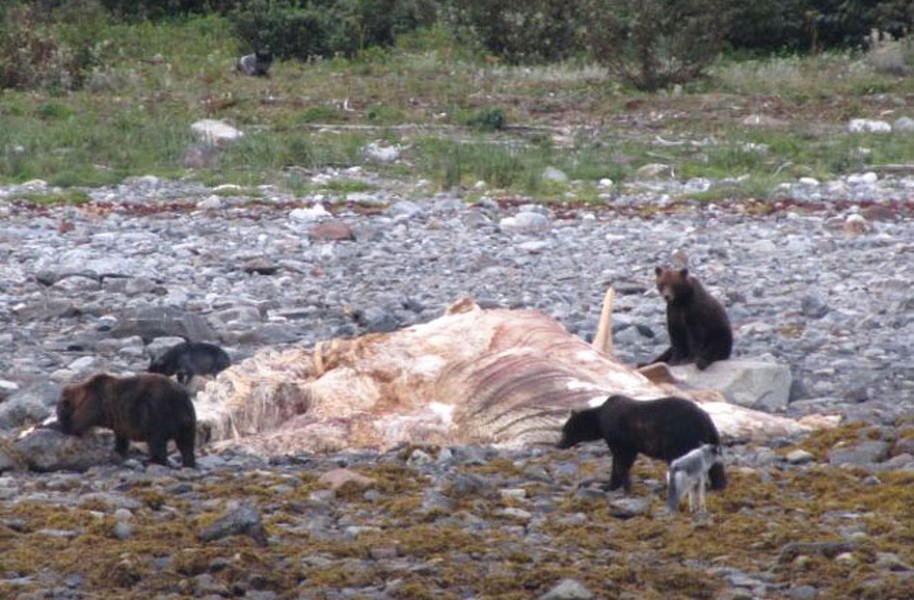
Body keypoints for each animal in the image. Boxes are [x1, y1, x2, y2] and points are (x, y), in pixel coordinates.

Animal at [56, 372, 196, 466]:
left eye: (60, 412)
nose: (59, 420)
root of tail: (183, 400)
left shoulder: (94, 401)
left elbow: (79, 422)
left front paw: (64, 427)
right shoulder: (120, 421)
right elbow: (121, 437)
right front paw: (118, 450)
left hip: (157, 413)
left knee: (157, 439)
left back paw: (151, 460)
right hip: (187, 421)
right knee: (186, 444)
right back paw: (188, 463)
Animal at [556, 394, 728, 492]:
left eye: (564, 430)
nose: (558, 444)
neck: (600, 420)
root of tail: (706, 419)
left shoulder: (619, 435)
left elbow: (622, 458)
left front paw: (616, 485)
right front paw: (612, 485)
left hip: (679, 436)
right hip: (710, 437)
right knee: (716, 465)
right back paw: (717, 486)